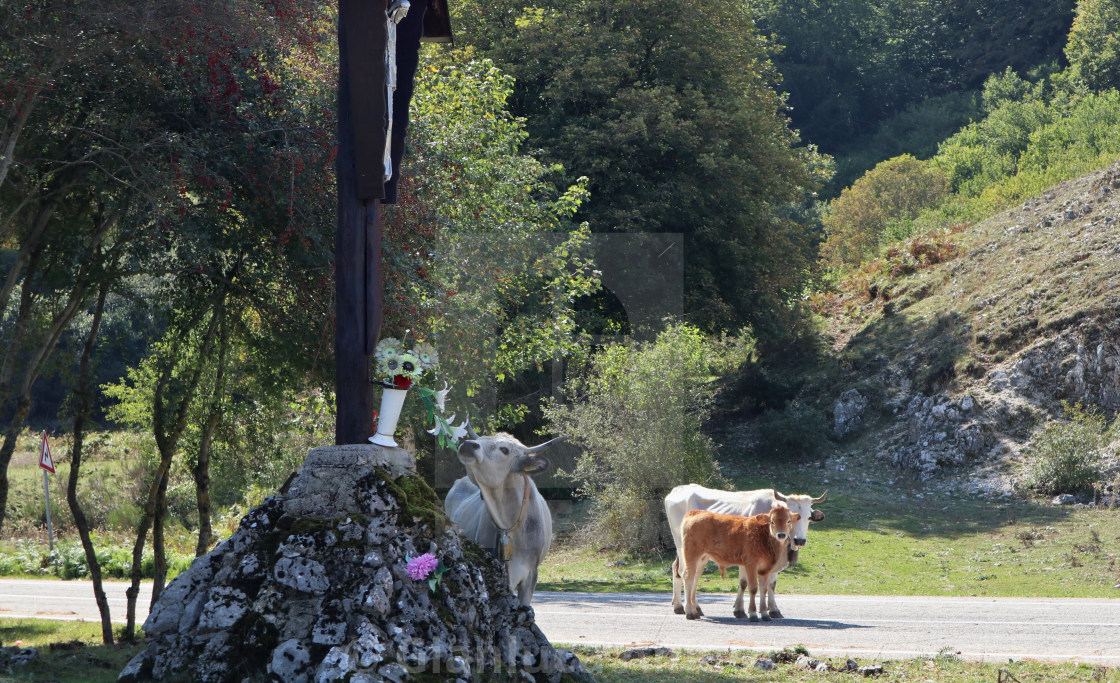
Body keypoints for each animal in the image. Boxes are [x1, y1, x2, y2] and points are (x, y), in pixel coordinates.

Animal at [663, 483, 824, 618]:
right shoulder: (748, 559)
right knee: (683, 572)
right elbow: (744, 583)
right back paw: (683, 607)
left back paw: (692, 608)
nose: (799, 540)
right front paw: (740, 610)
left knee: (692, 574)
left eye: (808, 517)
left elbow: (771, 585)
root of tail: (678, 490)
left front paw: (773, 610)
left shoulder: (774, 561)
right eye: (794, 516)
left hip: (701, 556)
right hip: (683, 548)